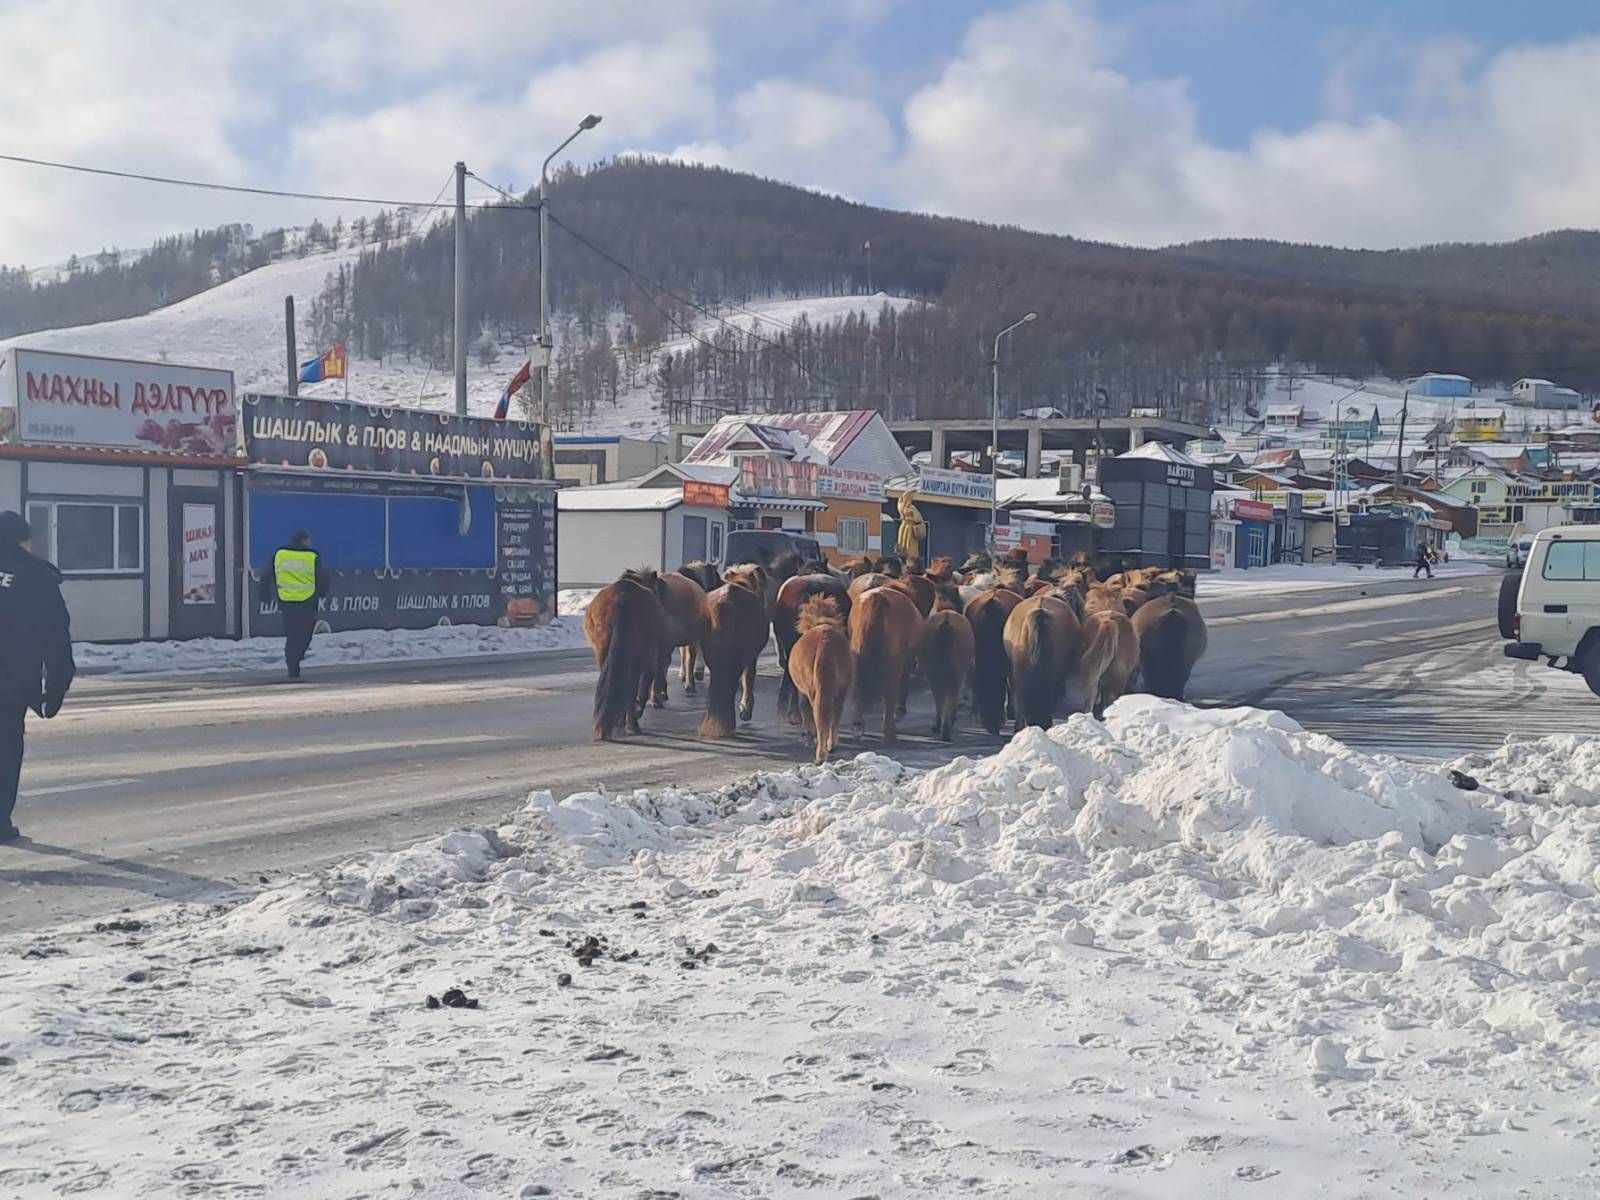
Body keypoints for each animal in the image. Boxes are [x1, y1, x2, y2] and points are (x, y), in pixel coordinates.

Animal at [585, 569, 665, 742]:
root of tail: (622, 598)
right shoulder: (647, 661)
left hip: (603, 653)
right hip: (638, 658)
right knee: (629, 688)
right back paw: (632, 724)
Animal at [790, 598, 857, 764]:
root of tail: (824, 643)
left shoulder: (802, 691)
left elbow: (804, 708)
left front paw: (808, 736)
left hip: (814, 690)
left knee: (820, 715)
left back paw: (821, 753)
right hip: (840, 689)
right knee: (834, 714)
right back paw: (830, 746)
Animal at [844, 588, 921, 748]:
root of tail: (877, 597)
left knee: (859, 687)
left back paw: (858, 726)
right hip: (894, 663)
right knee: (890, 692)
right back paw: (890, 734)